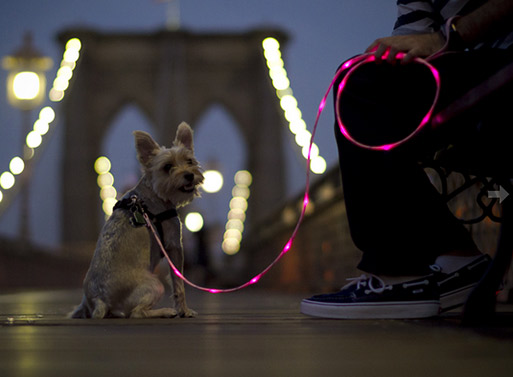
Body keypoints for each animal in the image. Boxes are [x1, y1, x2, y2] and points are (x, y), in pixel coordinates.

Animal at [71, 122, 203, 316]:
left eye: (190, 161)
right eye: (167, 167)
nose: (189, 175)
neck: (153, 193)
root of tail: (100, 299)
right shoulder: (174, 246)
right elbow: (178, 284)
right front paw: (184, 310)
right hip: (155, 285)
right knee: (137, 312)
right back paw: (165, 311)